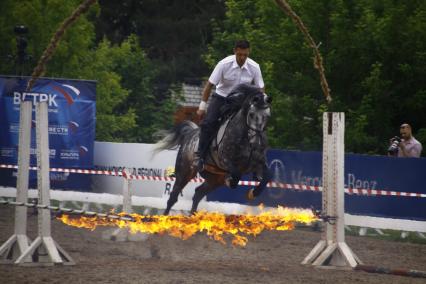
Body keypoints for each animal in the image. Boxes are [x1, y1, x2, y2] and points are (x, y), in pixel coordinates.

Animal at [155, 84, 272, 215]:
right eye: (251, 114)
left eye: (267, 116)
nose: (257, 141)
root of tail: (190, 133)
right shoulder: (226, 160)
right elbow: (236, 175)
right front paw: (231, 181)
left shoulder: (259, 162)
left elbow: (268, 176)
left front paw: (253, 193)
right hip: (184, 172)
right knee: (173, 197)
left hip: (214, 179)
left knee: (198, 193)